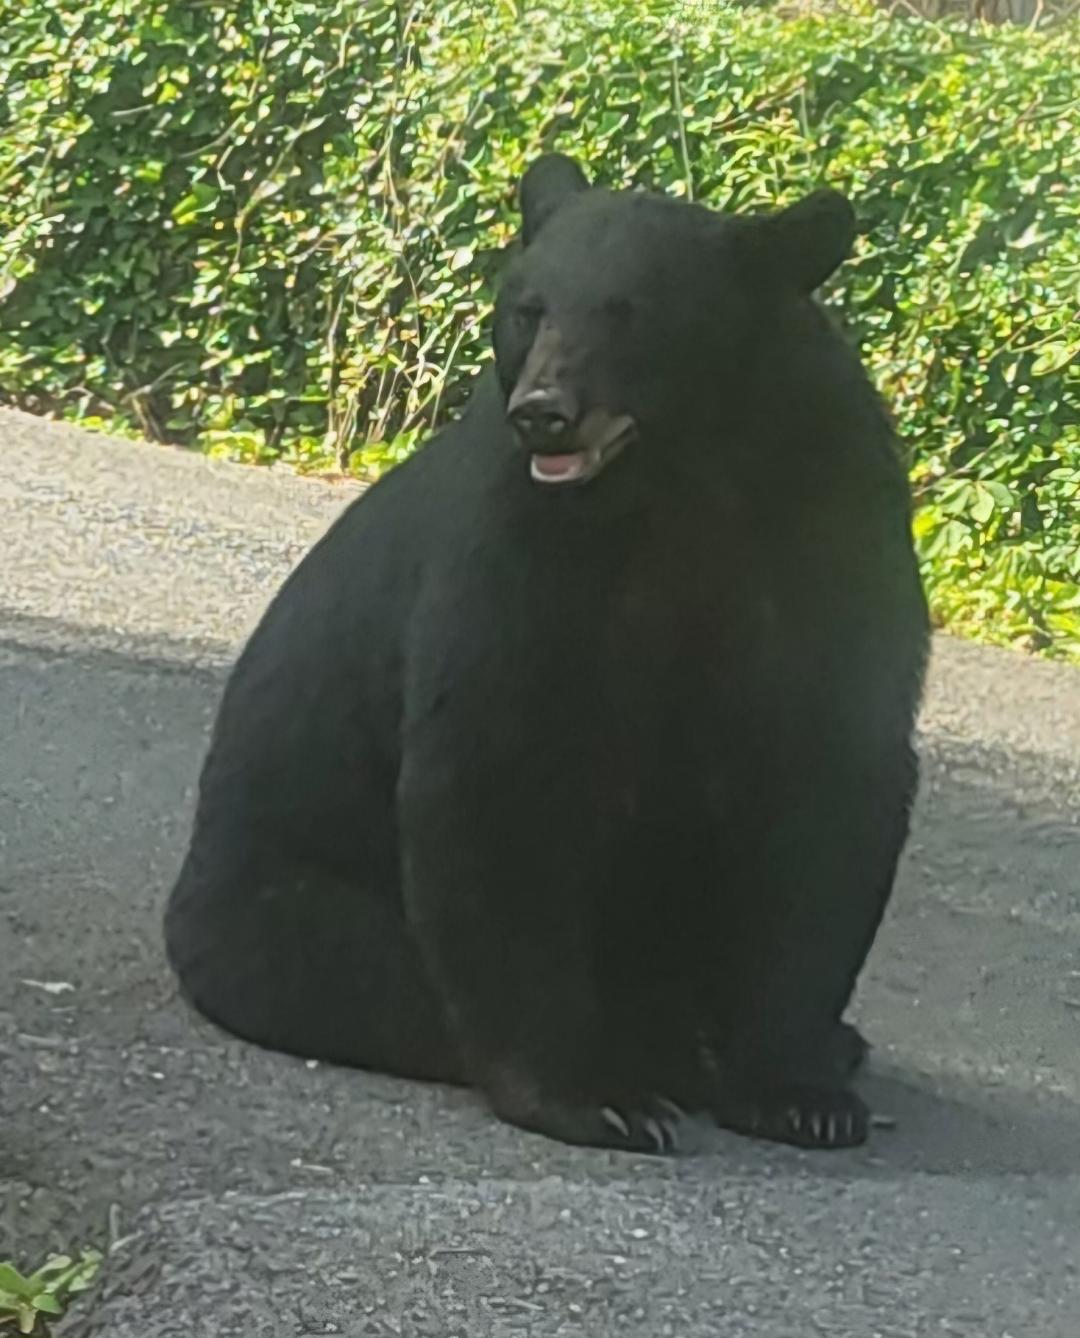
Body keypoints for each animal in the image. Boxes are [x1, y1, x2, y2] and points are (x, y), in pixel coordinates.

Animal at [166, 153, 931, 1150]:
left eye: (630, 312)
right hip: (294, 909)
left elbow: (833, 778)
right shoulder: (520, 546)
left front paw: (799, 1090)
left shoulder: (831, 524)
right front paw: (593, 1095)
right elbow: (502, 762)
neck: (684, 479)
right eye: (529, 307)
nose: (545, 414)